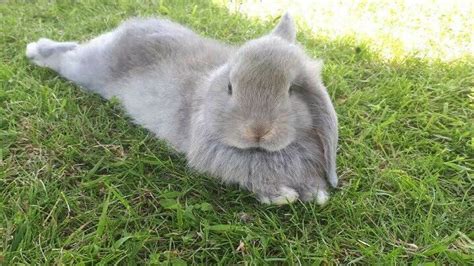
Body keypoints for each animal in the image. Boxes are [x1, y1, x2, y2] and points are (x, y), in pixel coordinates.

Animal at [25, 13, 338, 206]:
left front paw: (316, 192)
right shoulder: (216, 153)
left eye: (291, 90)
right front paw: (282, 195)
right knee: (64, 58)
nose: (257, 130)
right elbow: (250, 171)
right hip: (86, 70)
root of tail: (124, 31)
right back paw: (34, 49)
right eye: (230, 87)